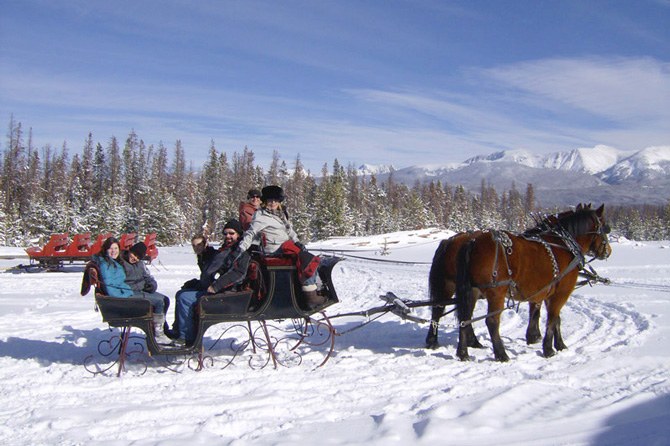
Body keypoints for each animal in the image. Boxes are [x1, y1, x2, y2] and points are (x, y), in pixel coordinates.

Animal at [456, 204, 608, 360]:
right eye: (605, 226)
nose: (608, 251)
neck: (564, 244)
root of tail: (473, 242)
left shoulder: (547, 293)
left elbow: (553, 318)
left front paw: (557, 344)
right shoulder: (561, 293)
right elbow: (552, 320)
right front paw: (548, 349)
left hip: (472, 291)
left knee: (464, 319)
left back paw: (463, 353)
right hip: (496, 292)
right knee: (492, 322)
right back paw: (502, 354)